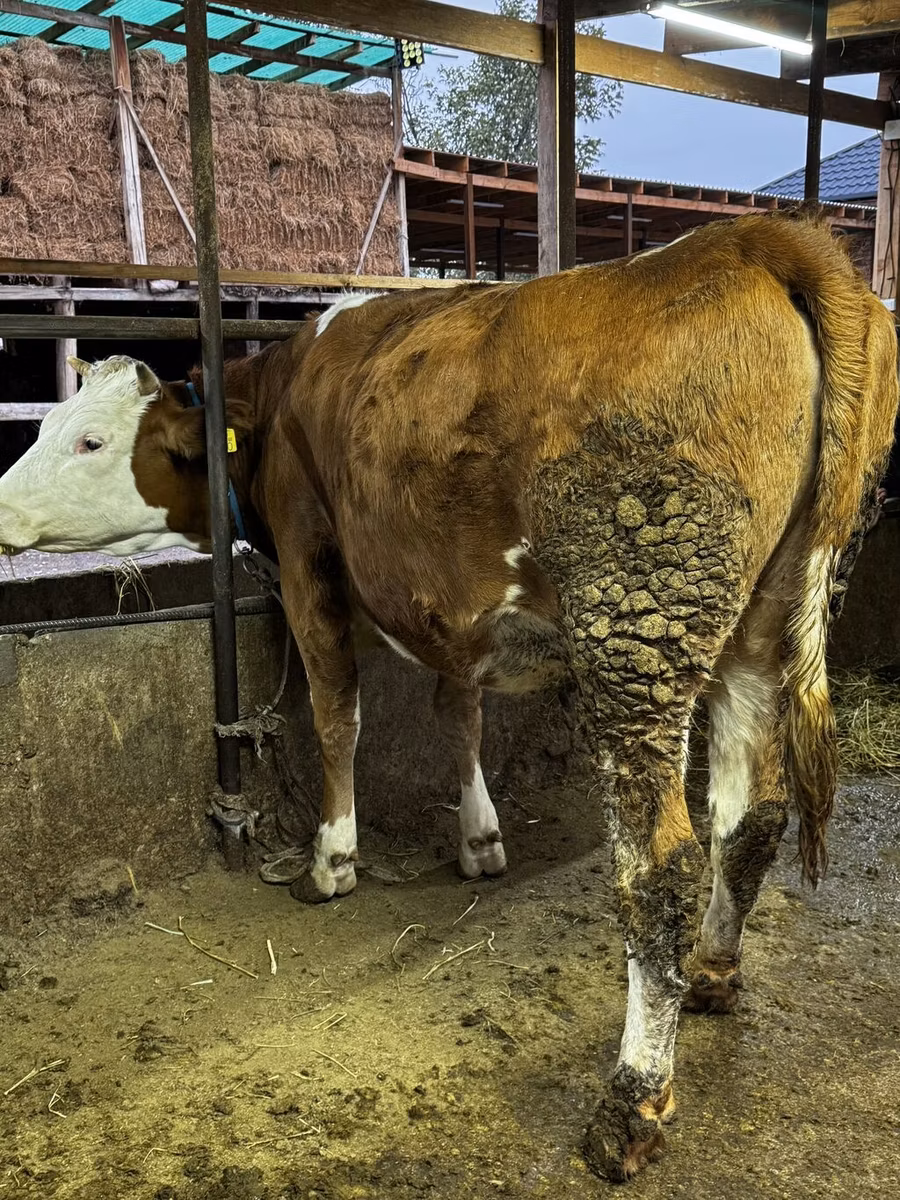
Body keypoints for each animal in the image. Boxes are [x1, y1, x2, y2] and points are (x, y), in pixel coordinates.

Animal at [0, 214, 896, 1181]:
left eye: (90, 440)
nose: (0, 505)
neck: (276, 400)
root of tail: (752, 240)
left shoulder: (310, 554)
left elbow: (336, 713)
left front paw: (332, 860)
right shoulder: (448, 604)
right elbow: (458, 715)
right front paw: (479, 839)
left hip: (637, 619)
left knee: (659, 868)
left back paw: (632, 1102)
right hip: (767, 619)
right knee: (751, 816)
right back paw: (713, 975)